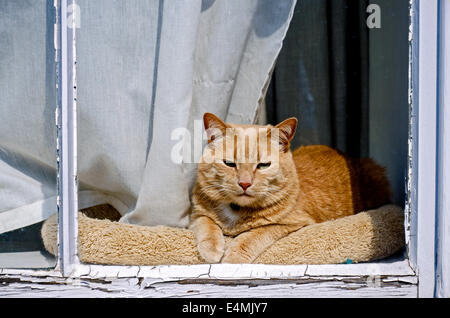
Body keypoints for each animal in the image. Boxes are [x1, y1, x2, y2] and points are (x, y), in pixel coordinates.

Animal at [188, 112, 392, 264]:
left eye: (263, 165)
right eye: (229, 163)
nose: (245, 183)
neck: (237, 211)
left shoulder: (293, 224)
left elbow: (255, 234)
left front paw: (232, 257)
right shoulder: (196, 215)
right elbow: (207, 224)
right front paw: (211, 249)